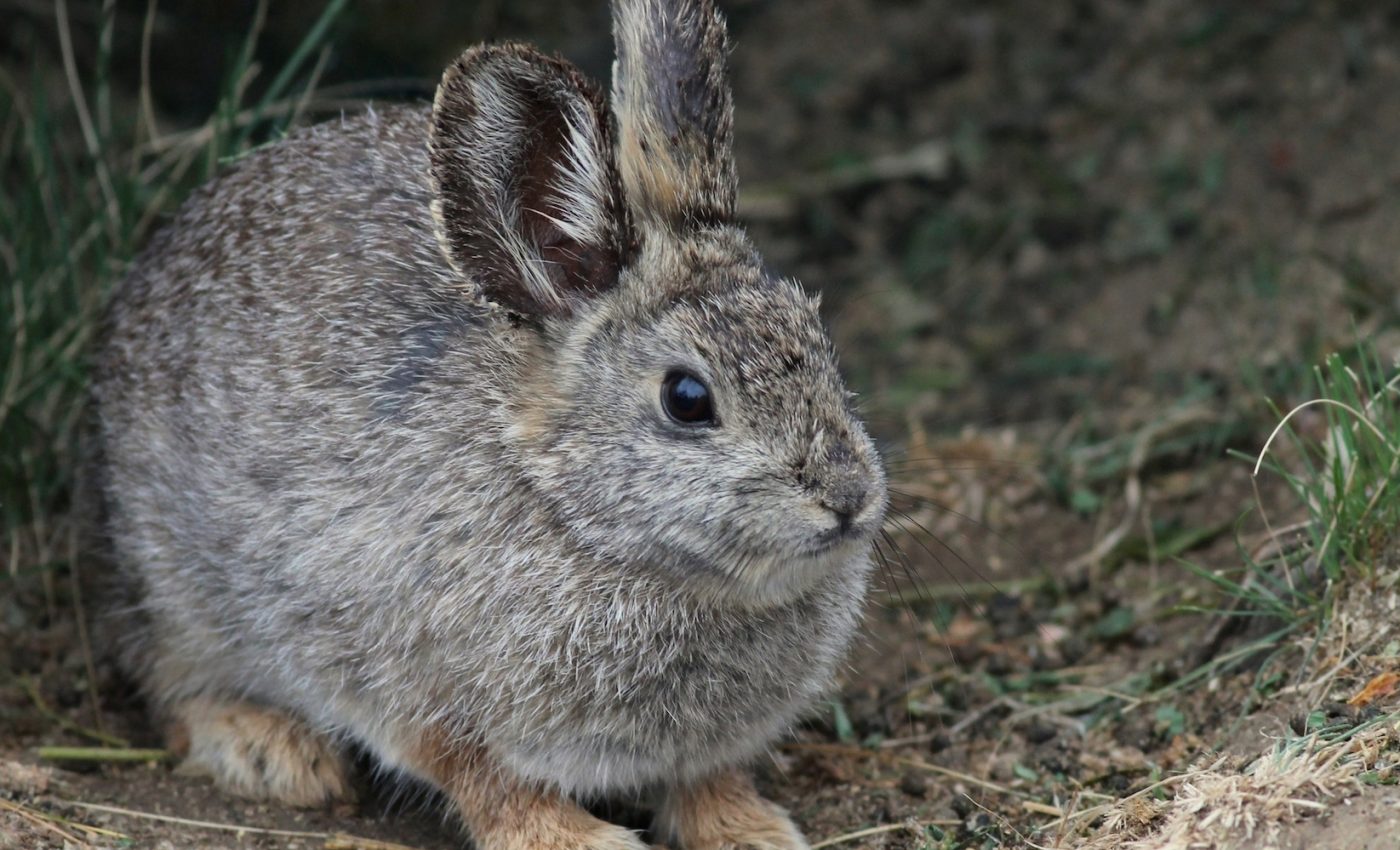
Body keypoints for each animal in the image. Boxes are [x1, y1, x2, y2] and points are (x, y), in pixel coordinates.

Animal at [91, 0, 887, 847]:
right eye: (687, 398)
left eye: (819, 338)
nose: (847, 497)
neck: (576, 517)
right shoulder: (411, 687)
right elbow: (486, 779)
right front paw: (582, 839)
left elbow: (706, 778)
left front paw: (750, 828)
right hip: (171, 591)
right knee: (170, 686)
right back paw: (269, 751)